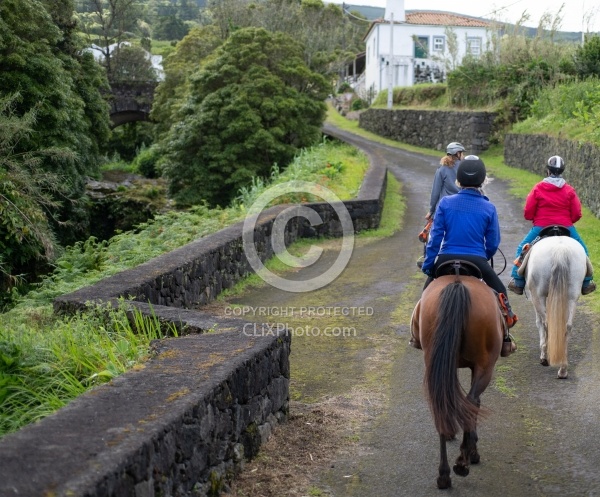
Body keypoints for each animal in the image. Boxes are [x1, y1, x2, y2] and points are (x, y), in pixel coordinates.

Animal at [410, 276, 504, 488]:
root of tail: (457, 283)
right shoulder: (477, 367)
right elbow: (474, 403)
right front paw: (472, 449)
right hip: (485, 365)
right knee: (471, 402)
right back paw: (463, 461)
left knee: (442, 402)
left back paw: (444, 474)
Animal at [524, 234, 588, 378]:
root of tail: (560, 250)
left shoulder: (535, 297)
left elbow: (539, 323)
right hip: (572, 296)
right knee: (567, 326)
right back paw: (563, 369)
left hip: (538, 295)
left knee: (546, 324)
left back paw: (546, 358)